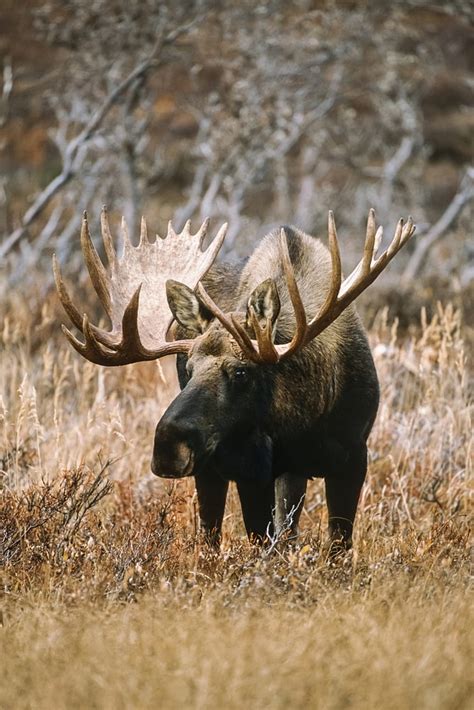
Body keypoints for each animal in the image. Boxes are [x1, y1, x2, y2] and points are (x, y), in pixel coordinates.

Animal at [54, 206, 414, 552]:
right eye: (188, 369)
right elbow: (262, 543)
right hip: (211, 467)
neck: (305, 415)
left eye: (241, 371)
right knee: (210, 535)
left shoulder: (353, 457)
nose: (168, 446)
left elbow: (338, 547)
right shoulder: (250, 468)